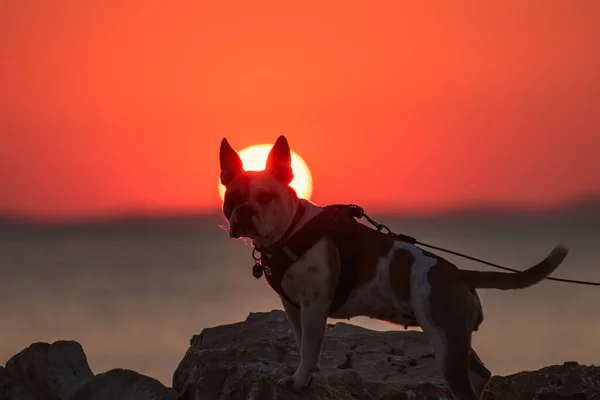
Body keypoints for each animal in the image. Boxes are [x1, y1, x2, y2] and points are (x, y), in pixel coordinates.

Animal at [218, 136, 568, 398]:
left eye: (266, 197)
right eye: (231, 197)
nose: (244, 212)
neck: (291, 230)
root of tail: (456, 272)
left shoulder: (314, 304)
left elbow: (310, 345)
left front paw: (300, 379)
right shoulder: (294, 307)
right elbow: (304, 342)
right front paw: (309, 373)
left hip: (445, 339)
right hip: (455, 335)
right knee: (480, 373)